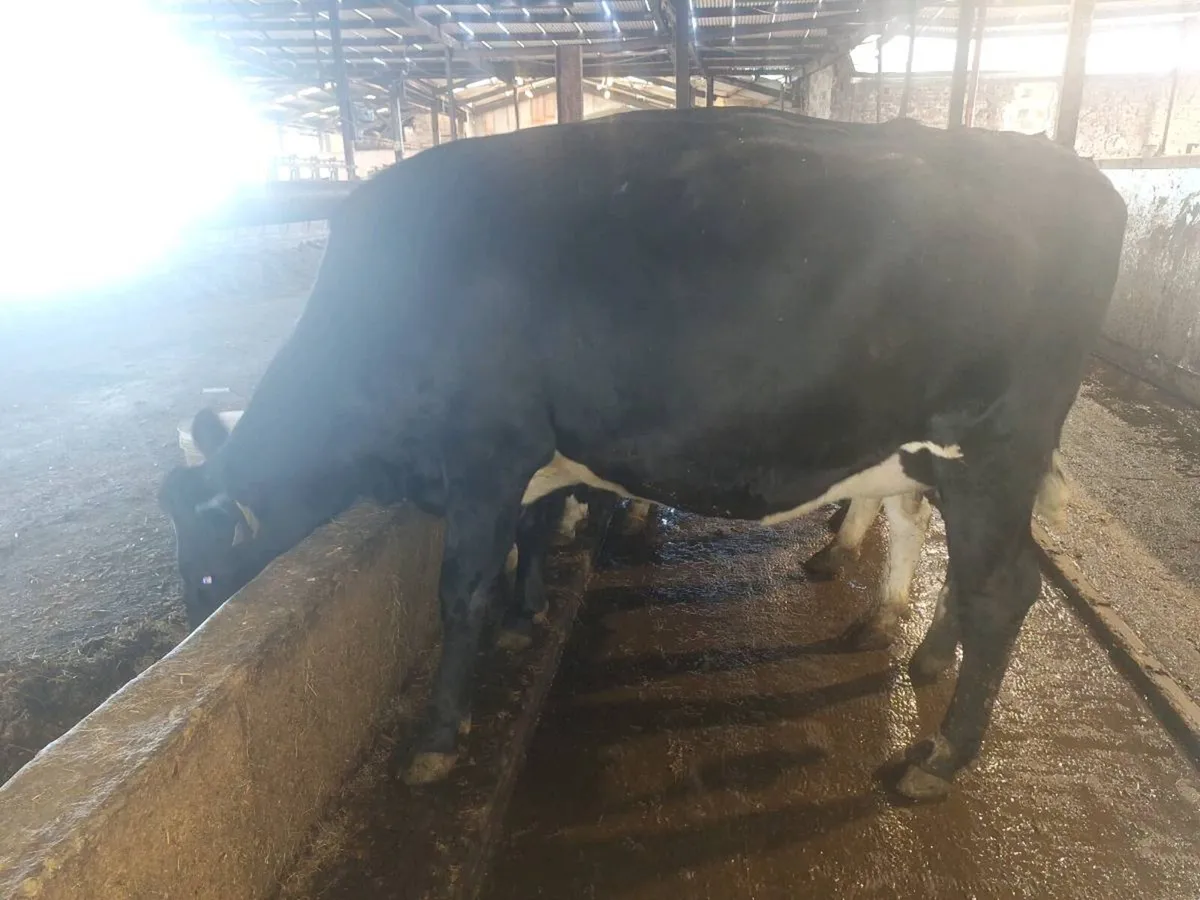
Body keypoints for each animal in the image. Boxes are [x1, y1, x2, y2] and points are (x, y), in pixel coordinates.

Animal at [158, 108, 1126, 802]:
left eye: (203, 574)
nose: (191, 625)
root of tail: (1073, 170)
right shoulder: (537, 457)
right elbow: (533, 535)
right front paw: (525, 619)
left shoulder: (483, 451)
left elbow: (460, 591)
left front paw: (437, 739)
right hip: (960, 461)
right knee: (970, 563)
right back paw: (920, 655)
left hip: (991, 447)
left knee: (1004, 589)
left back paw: (940, 758)